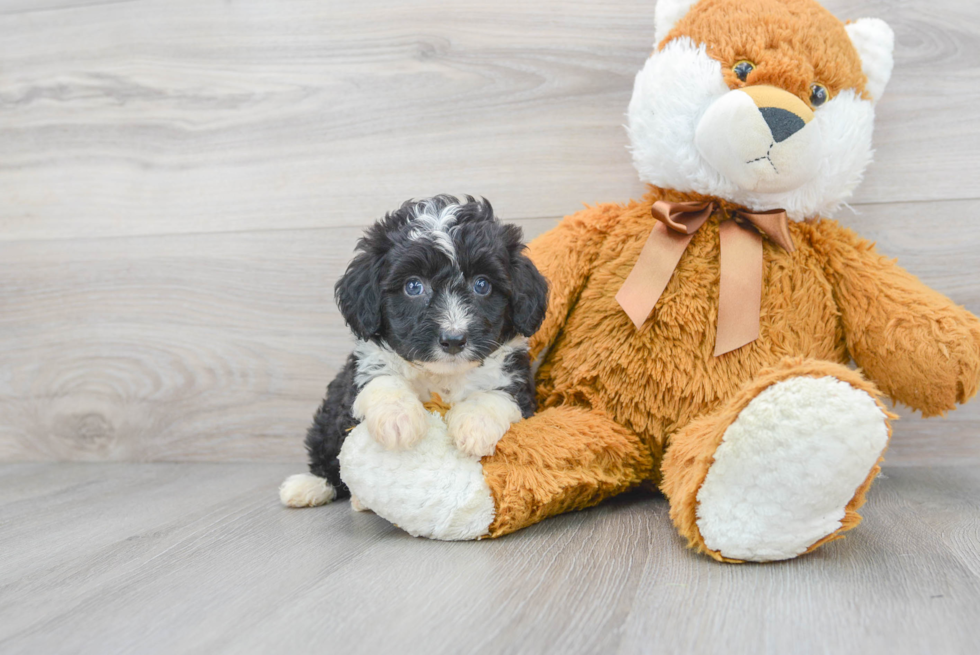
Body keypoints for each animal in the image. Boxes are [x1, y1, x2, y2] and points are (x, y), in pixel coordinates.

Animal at [280, 195, 548, 508]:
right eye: (413, 286)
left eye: (482, 284)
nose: (453, 339)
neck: (441, 376)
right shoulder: (363, 367)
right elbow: (383, 379)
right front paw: (398, 419)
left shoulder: (516, 378)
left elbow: (497, 394)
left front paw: (475, 426)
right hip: (327, 421)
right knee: (326, 455)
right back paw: (309, 486)